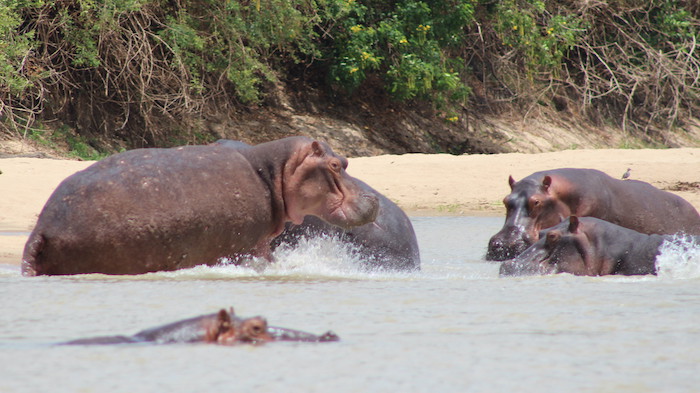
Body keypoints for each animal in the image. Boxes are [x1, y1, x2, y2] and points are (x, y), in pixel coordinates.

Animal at [24, 136, 380, 274]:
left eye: (345, 160)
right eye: (337, 164)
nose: (374, 198)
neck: (274, 172)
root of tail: (42, 230)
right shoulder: (254, 246)